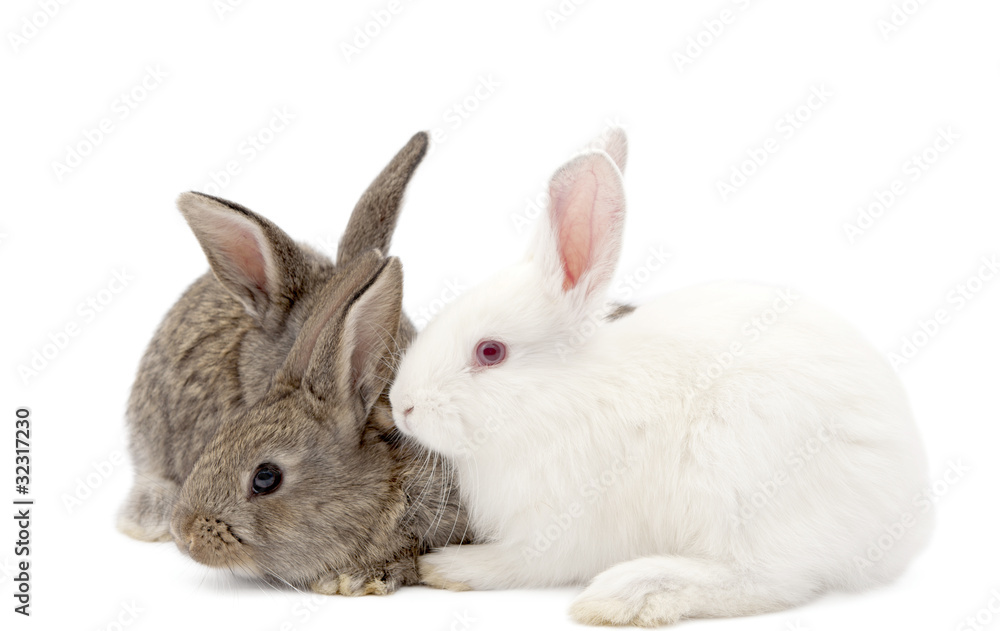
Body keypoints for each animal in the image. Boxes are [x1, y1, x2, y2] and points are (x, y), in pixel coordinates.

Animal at [388, 129, 933, 625]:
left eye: (490, 352)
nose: (402, 406)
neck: (559, 398)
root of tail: (905, 523)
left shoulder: (563, 524)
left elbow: (522, 562)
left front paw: (449, 567)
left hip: (743, 484)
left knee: (764, 579)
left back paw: (624, 595)